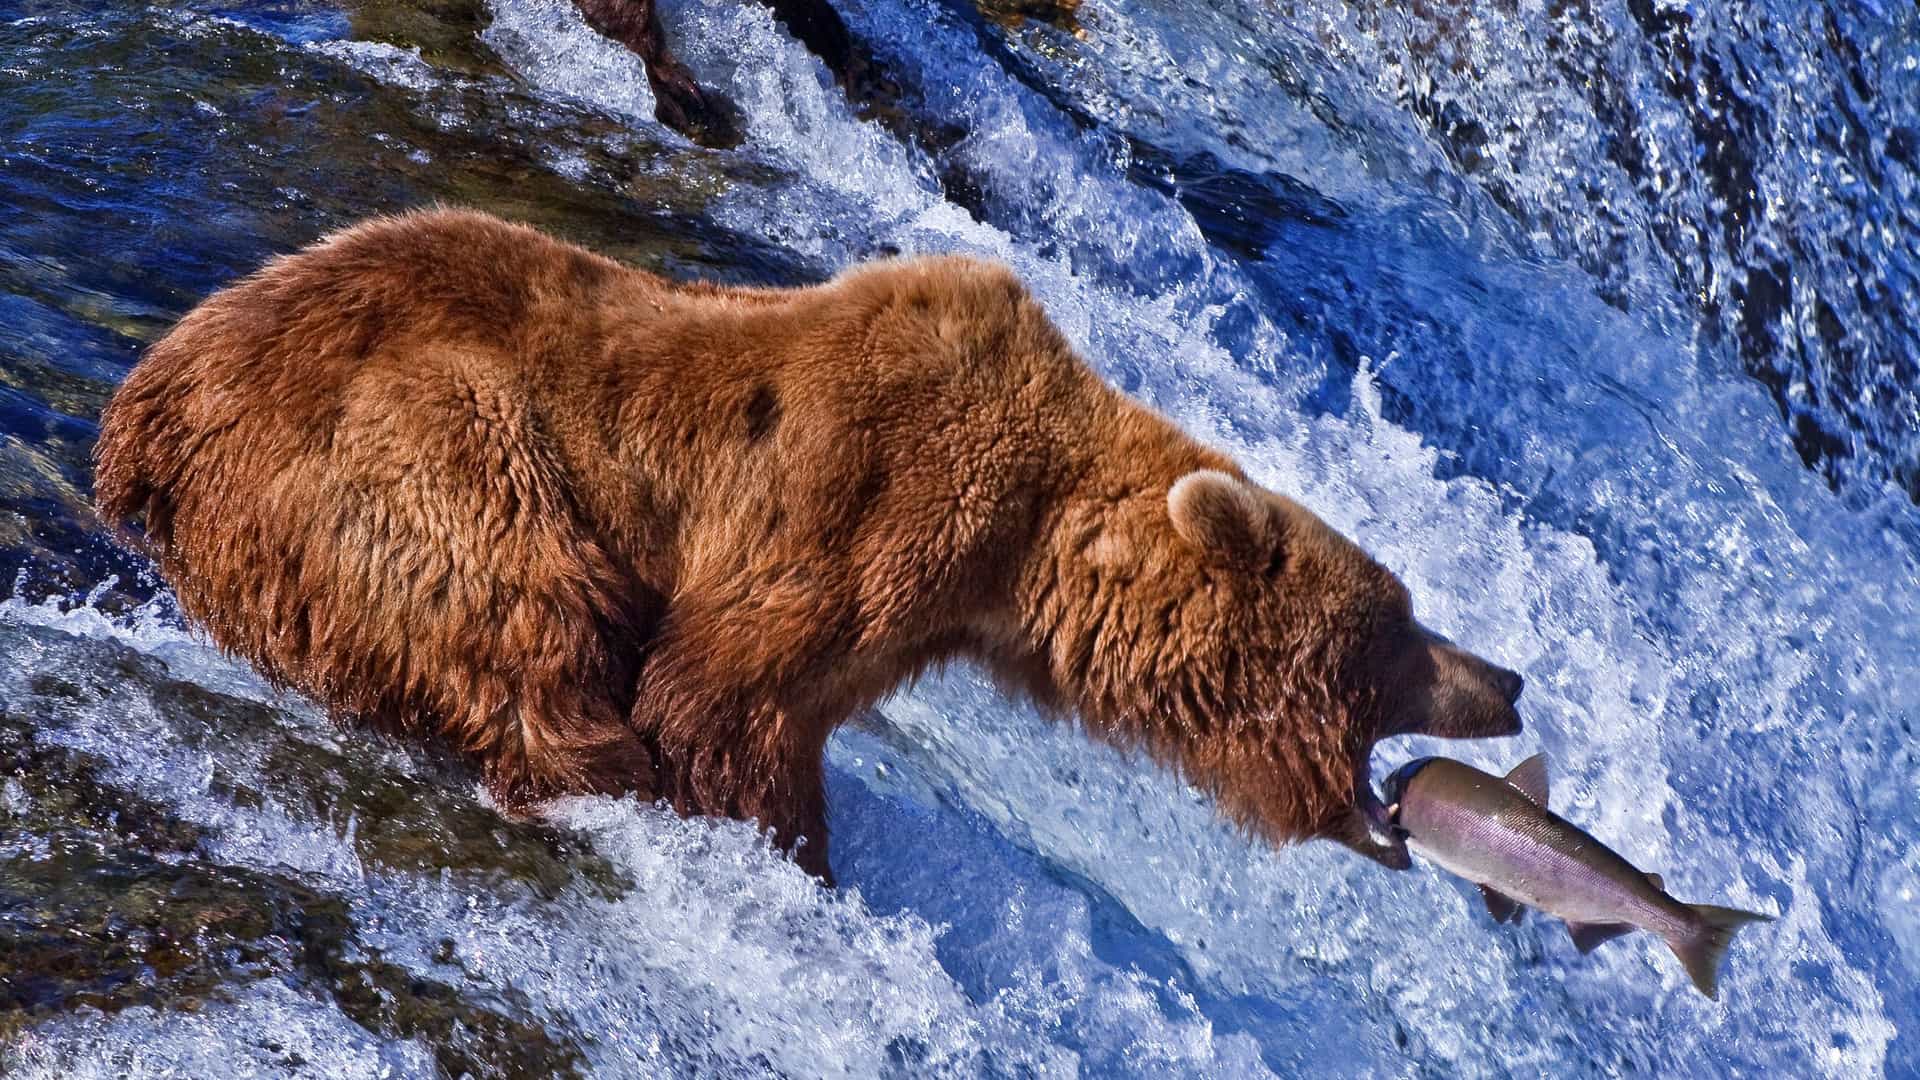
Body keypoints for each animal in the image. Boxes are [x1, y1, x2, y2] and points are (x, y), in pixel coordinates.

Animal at [93, 209, 1524, 881]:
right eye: (1397, 624)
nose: (1507, 677)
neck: (1023, 557)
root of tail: (145, 408)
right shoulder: (871, 504)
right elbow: (725, 698)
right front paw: (785, 852)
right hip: (410, 443)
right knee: (521, 614)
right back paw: (584, 761)